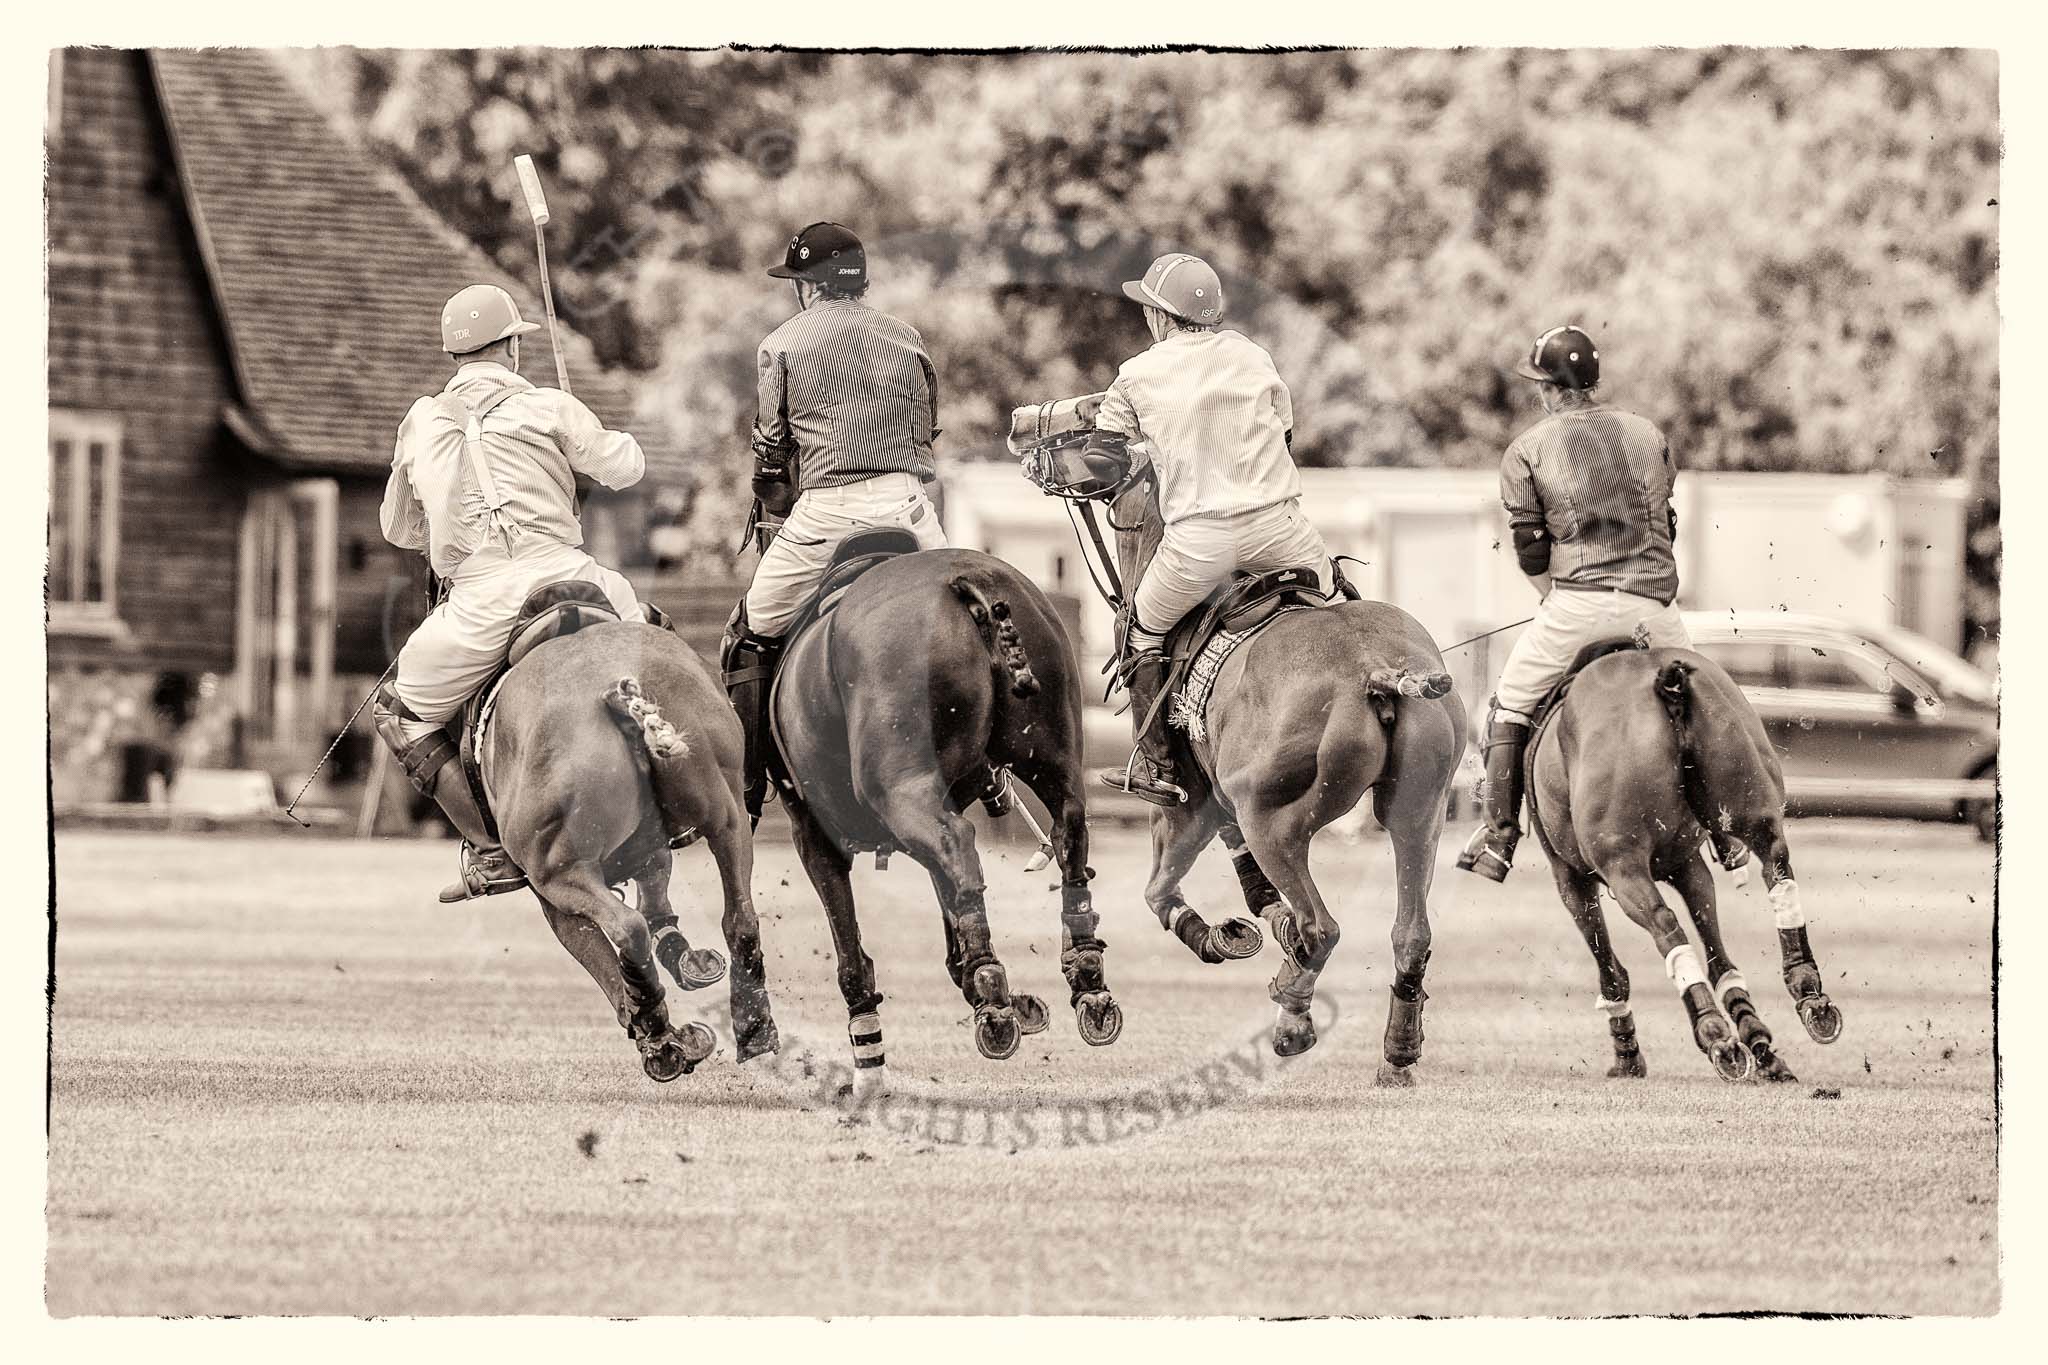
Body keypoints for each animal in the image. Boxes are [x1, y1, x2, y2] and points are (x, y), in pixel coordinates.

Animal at [483, 618, 778, 1080]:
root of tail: (616, 692)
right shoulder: (650, 848)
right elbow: (657, 892)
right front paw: (686, 960)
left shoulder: (549, 891)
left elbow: (602, 956)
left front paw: (653, 1026)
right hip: (728, 813)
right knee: (740, 917)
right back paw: (755, 1029)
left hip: (560, 870)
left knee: (628, 928)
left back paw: (660, 1038)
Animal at [770, 544, 1122, 1064]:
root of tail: (967, 579)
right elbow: (948, 896)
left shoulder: (813, 831)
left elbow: (849, 940)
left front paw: (866, 1027)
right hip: (1051, 753)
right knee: (1067, 830)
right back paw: (1084, 974)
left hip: (900, 787)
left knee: (957, 843)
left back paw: (993, 991)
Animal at [1024, 431, 1474, 1080]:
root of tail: (1377, 669)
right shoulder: (1223, 799)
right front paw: (1259, 922)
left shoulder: (1189, 806)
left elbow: (1158, 891)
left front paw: (1221, 937)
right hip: (1420, 811)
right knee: (1410, 931)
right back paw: (1397, 1051)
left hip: (1277, 819)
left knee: (1322, 925)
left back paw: (1292, 1017)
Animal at [1531, 646, 1851, 1080]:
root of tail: (1668, 680)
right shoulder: (1686, 864)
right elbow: (1713, 940)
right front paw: (1758, 1040)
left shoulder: (1570, 877)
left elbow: (1611, 970)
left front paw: (1627, 1055)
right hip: (1747, 793)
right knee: (1777, 866)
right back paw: (1807, 994)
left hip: (1621, 863)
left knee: (1662, 921)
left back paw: (1713, 1032)